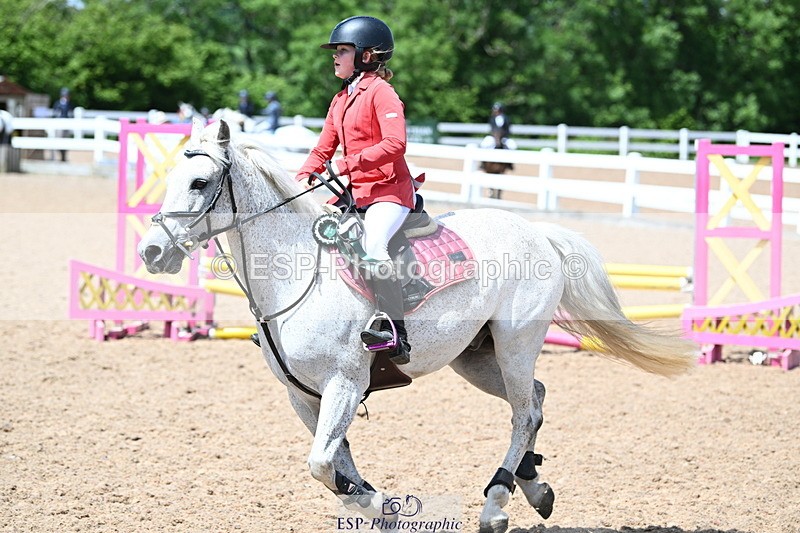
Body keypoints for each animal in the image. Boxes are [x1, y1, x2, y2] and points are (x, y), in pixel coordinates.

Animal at [137, 119, 695, 533]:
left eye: (200, 183)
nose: (152, 252)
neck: (298, 272)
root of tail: (536, 230)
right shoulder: (304, 396)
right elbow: (335, 462)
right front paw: (375, 503)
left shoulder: (344, 383)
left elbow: (322, 462)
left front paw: (378, 502)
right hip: (476, 359)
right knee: (535, 401)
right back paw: (533, 487)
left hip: (515, 345)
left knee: (522, 413)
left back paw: (495, 502)